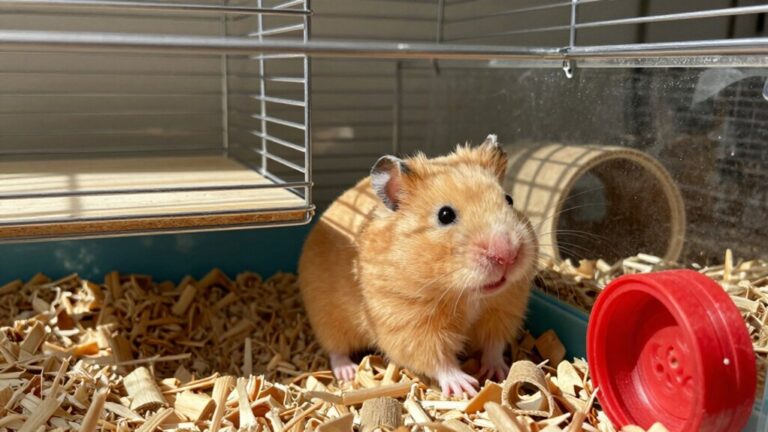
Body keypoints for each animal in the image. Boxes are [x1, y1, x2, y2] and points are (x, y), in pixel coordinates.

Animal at [298, 135, 538, 396]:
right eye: (445, 215)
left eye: (509, 200)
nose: (508, 254)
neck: (465, 294)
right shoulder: (410, 325)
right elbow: (438, 359)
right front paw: (466, 386)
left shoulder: (502, 310)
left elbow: (494, 345)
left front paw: (499, 372)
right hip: (326, 316)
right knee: (335, 349)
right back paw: (347, 372)